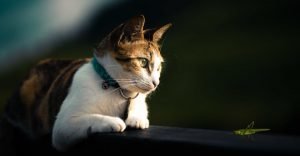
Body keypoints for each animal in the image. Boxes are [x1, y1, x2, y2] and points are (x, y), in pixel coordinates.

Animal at [1, 14, 171, 151]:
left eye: (158, 67)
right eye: (143, 62)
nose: (156, 83)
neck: (116, 89)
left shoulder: (139, 99)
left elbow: (140, 107)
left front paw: (137, 118)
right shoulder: (63, 126)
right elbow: (91, 118)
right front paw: (113, 121)